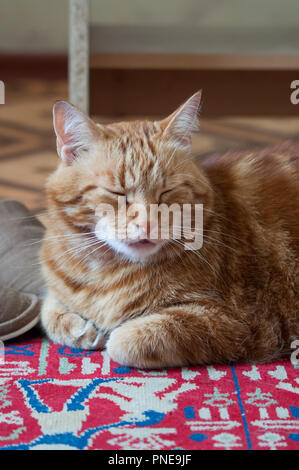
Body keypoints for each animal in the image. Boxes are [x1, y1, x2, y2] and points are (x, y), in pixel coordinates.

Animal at [40, 92, 299, 370]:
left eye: (166, 192)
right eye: (117, 193)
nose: (147, 224)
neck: (105, 272)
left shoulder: (236, 322)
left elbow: (123, 340)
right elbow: (47, 309)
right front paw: (80, 328)